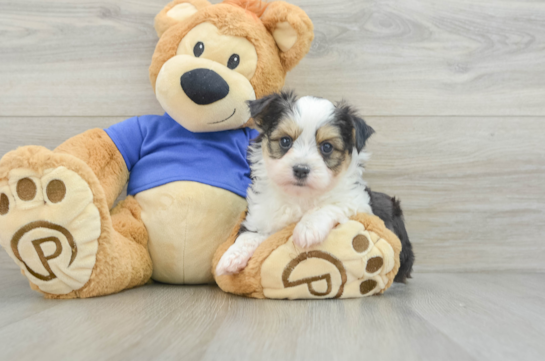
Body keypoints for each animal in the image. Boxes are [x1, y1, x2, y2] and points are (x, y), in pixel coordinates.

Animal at [215, 90, 414, 282]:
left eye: (327, 147)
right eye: (285, 141)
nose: (301, 170)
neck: (299, 196)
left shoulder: (358, 202)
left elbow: (331, 205)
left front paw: (307, 229)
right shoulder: (261, 215)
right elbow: (249, 235)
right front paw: (232, 256)